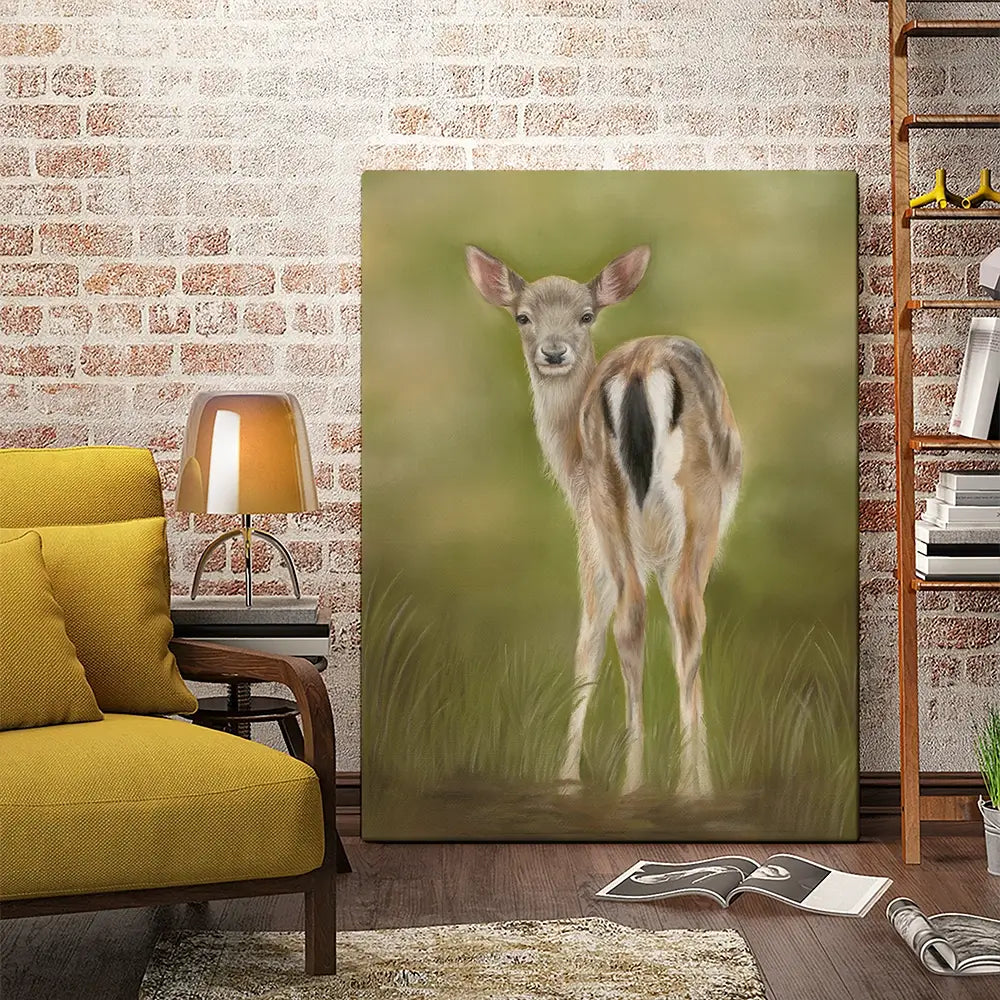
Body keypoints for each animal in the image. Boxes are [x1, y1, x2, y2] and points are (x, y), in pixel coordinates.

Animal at [465, 244, 742, 797]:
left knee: (643, 617)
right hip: (684, 507)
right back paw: (674, 788)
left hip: (615, 503)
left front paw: (568, 777)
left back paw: (641, 782)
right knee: (677, 617)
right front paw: (570, 776)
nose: (553, 352)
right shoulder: (599, 537)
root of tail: (639, 369)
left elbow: (596, 638)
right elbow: (595, 640)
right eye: (522, 316)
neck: (567, 463)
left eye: (586, 315)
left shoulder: (600, 533)